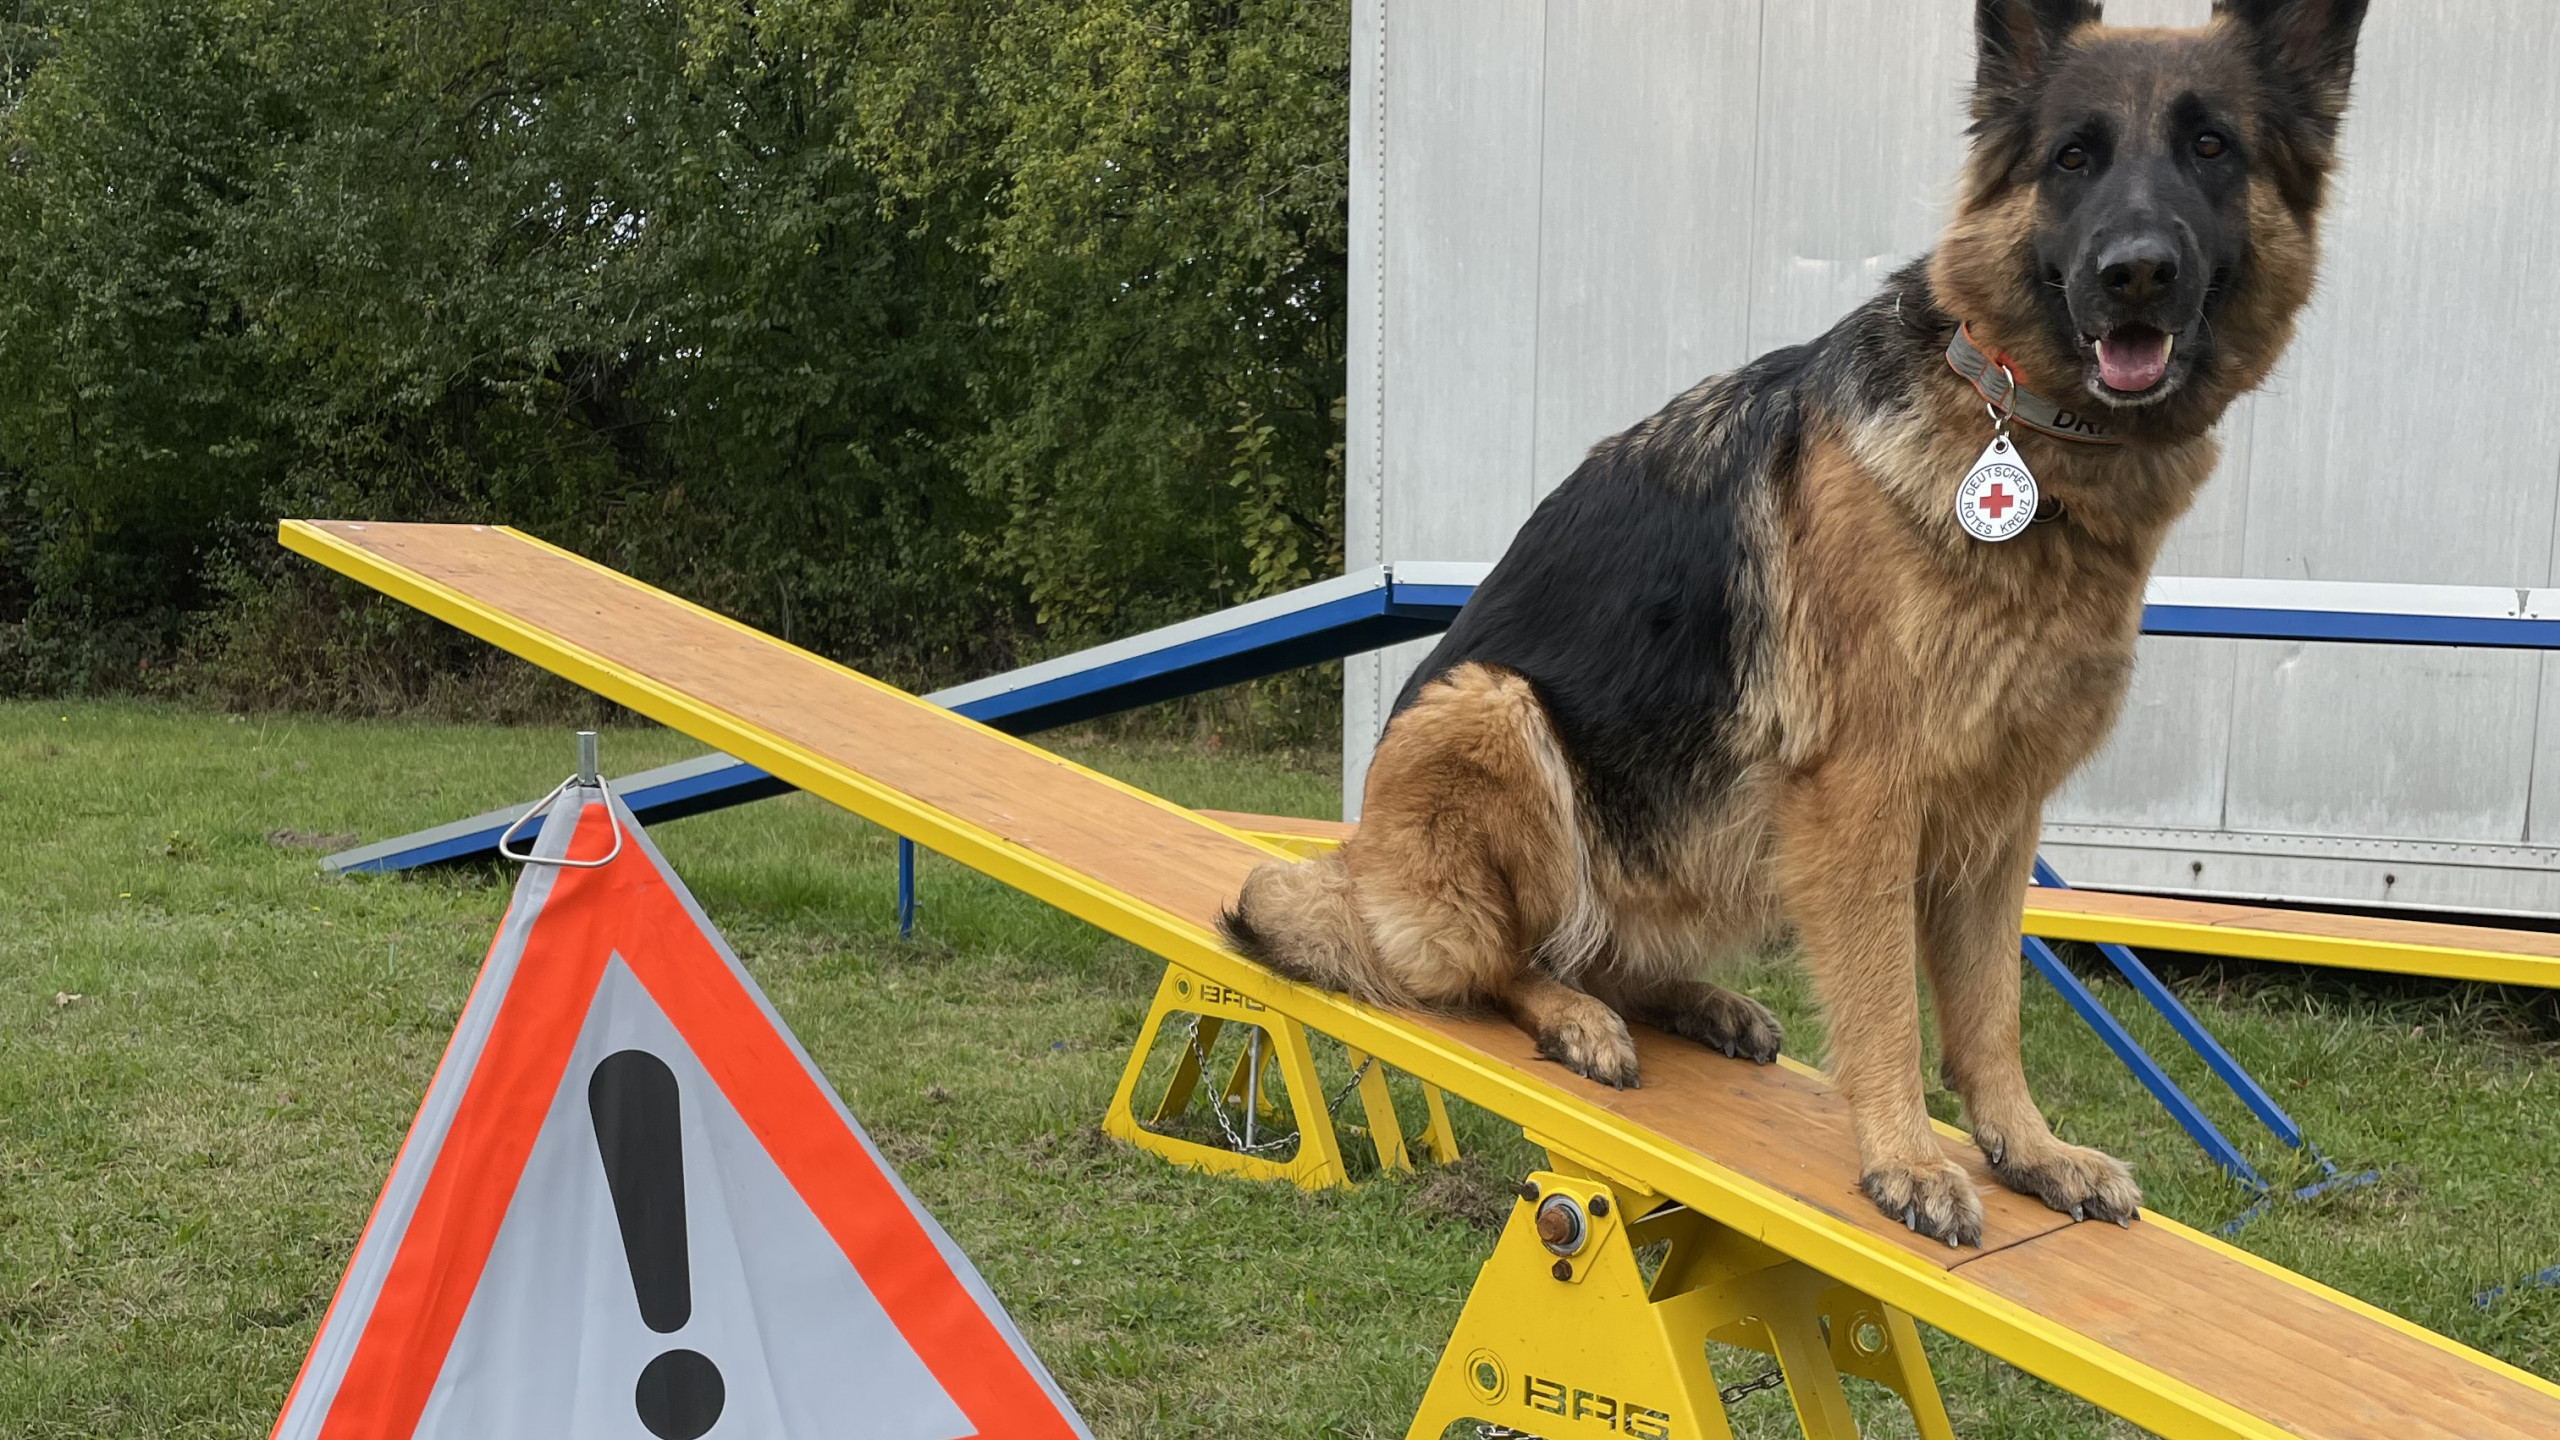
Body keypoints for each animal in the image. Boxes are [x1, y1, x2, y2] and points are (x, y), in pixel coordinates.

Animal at [1228, 0, 2365, 1240]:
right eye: (2074, 157)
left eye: (2211, 148)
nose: (2137, 275)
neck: (2012, 422)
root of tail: (1357, 874)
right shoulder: (1865, 795)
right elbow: (1885, 1004)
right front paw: (1905, 1159)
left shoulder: (1999, 816)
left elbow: (1989, 1008)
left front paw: (2025, 1149)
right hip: (1489, 712)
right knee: (1495, 959)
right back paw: (1573, 1015)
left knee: (1602, 945)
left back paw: (1690, 999)